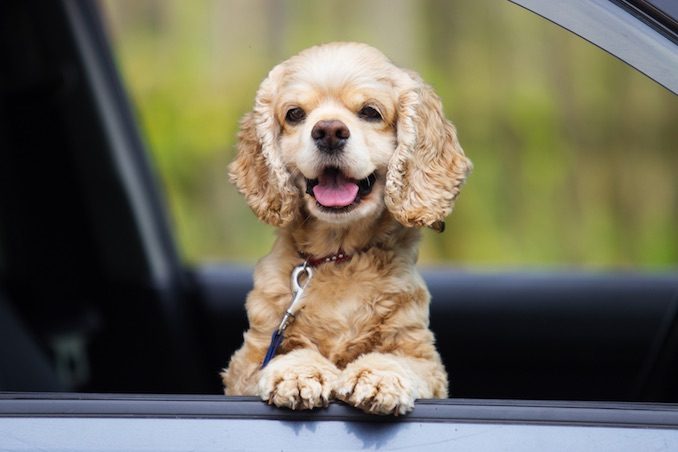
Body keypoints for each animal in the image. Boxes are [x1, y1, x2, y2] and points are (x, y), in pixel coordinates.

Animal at [223, 42, 472, 416]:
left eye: (370, 112)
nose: (328, 131)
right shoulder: (249, 360)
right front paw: (299, 372)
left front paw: (378, 377)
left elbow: (398, 360)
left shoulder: (421, 355)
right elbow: (282, 356)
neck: (339, 257)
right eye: (294, 114)